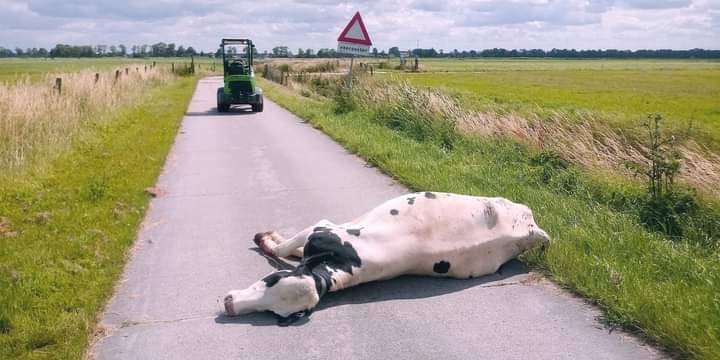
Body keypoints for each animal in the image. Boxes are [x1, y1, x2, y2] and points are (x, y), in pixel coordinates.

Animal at [222, 193, 548, 324]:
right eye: (268, 281)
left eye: (274, 311)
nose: (229, 305)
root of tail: (534, 228)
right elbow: (294, 250)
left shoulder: (323, 227)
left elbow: (282, 249)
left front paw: (267, 240)